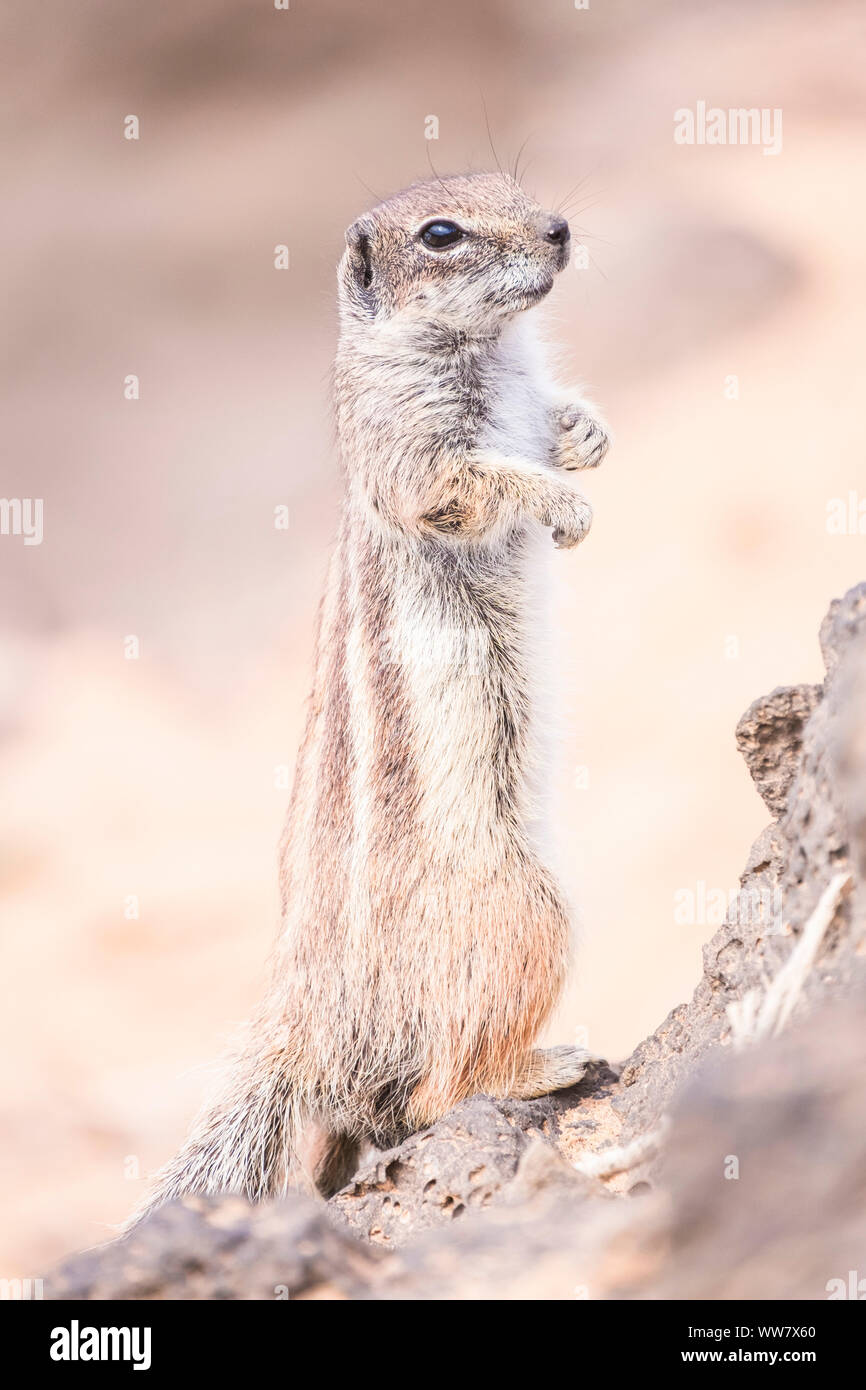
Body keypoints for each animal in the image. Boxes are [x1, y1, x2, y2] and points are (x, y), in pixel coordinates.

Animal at [139, 173, 608, 1212]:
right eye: (440, 234)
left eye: (511, 185)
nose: (561, 228)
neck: (490, 352)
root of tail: (307, 1017)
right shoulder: (413, 450)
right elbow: (472, 484)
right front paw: (563, 503)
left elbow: (553, 424)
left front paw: (587, 434)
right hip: (524, 909)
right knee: (443, 1085)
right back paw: (545, 1065)